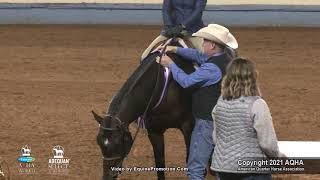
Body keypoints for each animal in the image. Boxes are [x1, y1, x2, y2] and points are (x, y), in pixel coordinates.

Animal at [91, 40, 196, 179]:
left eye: (118, 143)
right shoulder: (155, 132)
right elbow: (160, 163)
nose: (108, 175)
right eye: (99, 142)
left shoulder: (189, 128)